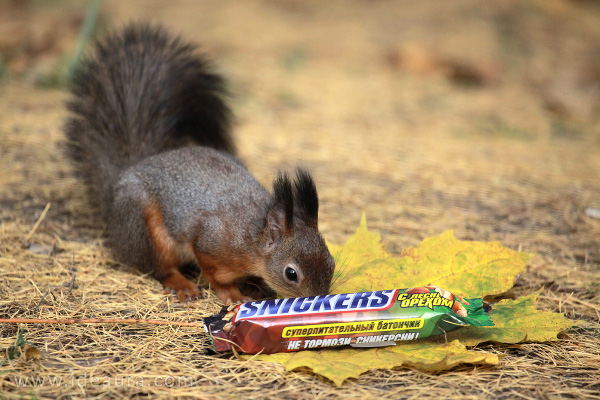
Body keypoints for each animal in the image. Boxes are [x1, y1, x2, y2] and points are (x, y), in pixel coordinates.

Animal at [67, 23, 338, 304]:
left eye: (332, 262)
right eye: (291, 273)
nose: (320, 299)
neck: (252, 236)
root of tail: (120, 180)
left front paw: (255, 286)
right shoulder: (211, 243)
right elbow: (216, 276)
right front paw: (235, 296)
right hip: (143, 225)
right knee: (158, 267)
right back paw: (181, 284)